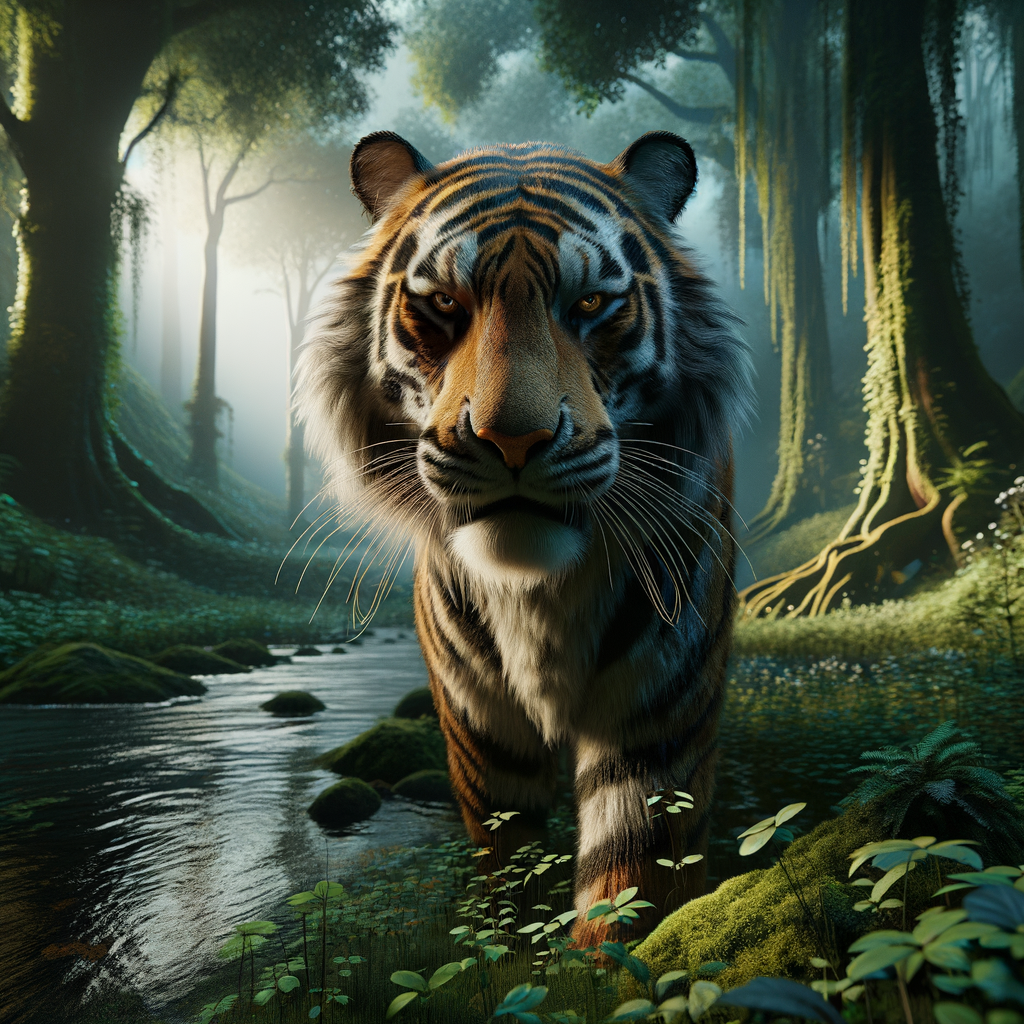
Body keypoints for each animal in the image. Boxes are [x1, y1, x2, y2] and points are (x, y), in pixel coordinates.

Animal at [297, 130, 754, 946]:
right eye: (444, 304)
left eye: (591, 304)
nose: (513, 439)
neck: (538, 592)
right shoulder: (484, 734)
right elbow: (511, 883)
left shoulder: (657, 718)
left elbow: (632, 885)